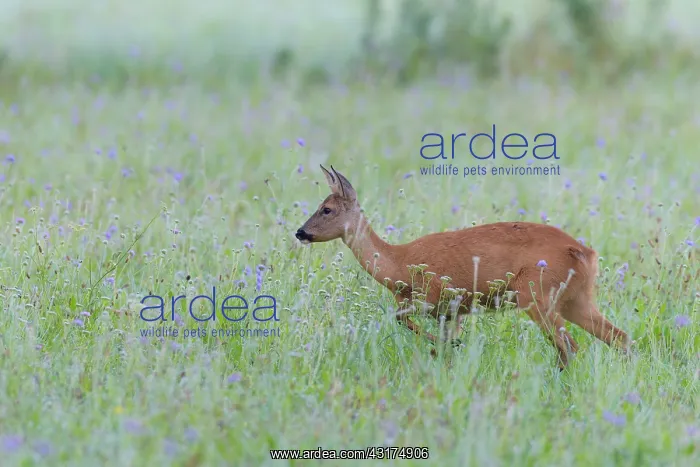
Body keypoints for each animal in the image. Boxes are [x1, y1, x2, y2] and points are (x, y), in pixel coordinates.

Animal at [295, 165, 631, 370]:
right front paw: (448, 352)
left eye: (327, 209)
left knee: (569, 345)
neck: (399, 265)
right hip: (576, 298)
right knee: (618, 337)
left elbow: (401, 319)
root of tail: (585, 253)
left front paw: (446, 346)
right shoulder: (453, 310)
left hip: (537, 293)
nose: (300, 232)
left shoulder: (436, 295)